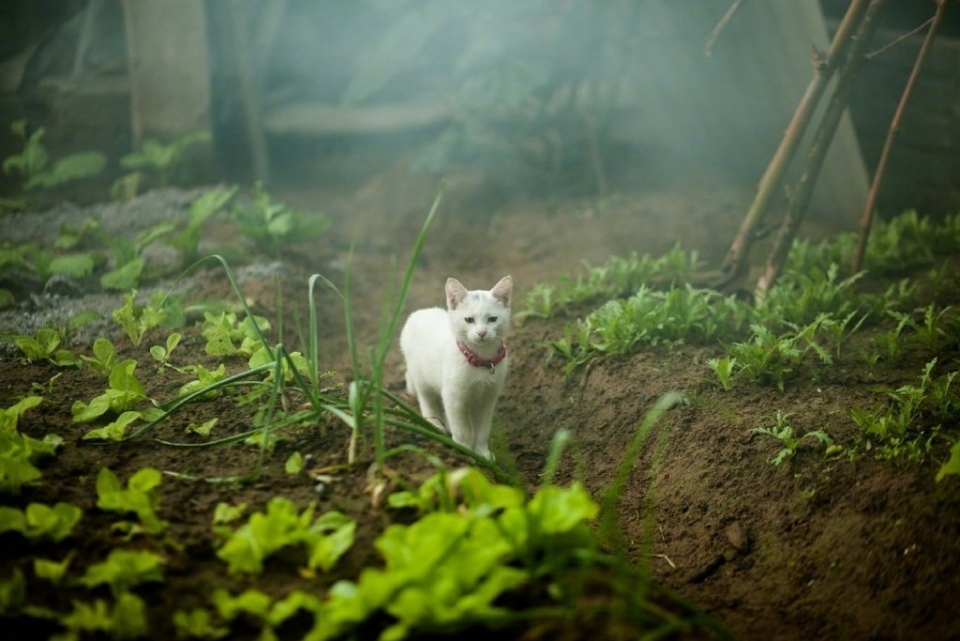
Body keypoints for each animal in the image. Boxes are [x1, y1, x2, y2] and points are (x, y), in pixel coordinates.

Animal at [398, 276, 512, 460]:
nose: (481, 333)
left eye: (492, 319)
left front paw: (483, 453)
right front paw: (465, 451)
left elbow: (482, 430)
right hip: (421, 377)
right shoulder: (454, 397)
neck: (480, 360)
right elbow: (462, 429)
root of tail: (419, 312)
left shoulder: (487, 399)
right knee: (427, 399)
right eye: (469, 320)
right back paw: (434, 424)